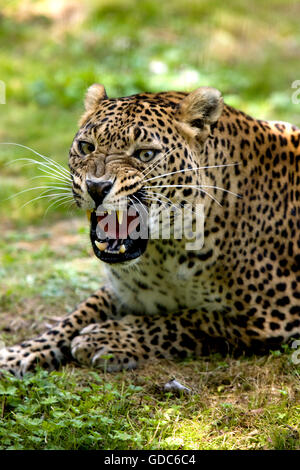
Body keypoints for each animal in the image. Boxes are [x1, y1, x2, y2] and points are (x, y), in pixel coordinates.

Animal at [0, 83, 298, 374]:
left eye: (145, 154)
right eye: (86, 147)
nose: (96, 187)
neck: (163, 255)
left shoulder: (272, 315)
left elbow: (190, 320)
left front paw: (107, 338)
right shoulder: (120, 290)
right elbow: (77, 313)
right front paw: (21, 353)